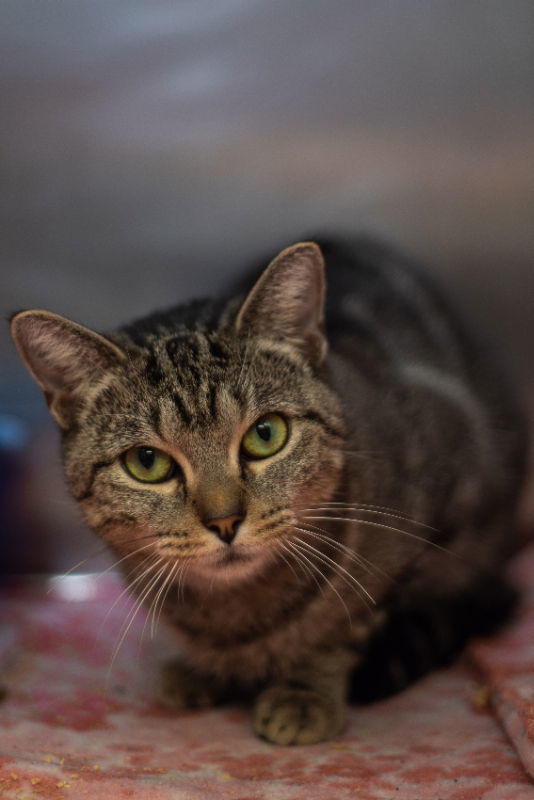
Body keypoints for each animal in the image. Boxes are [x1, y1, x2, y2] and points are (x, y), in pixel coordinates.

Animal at [8, 236, 528, 744]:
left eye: (265, 434)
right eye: (147, 463)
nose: (224, 521)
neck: (237, 611)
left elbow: (348, 623)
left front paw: (305, 691)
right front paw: (204, 669)